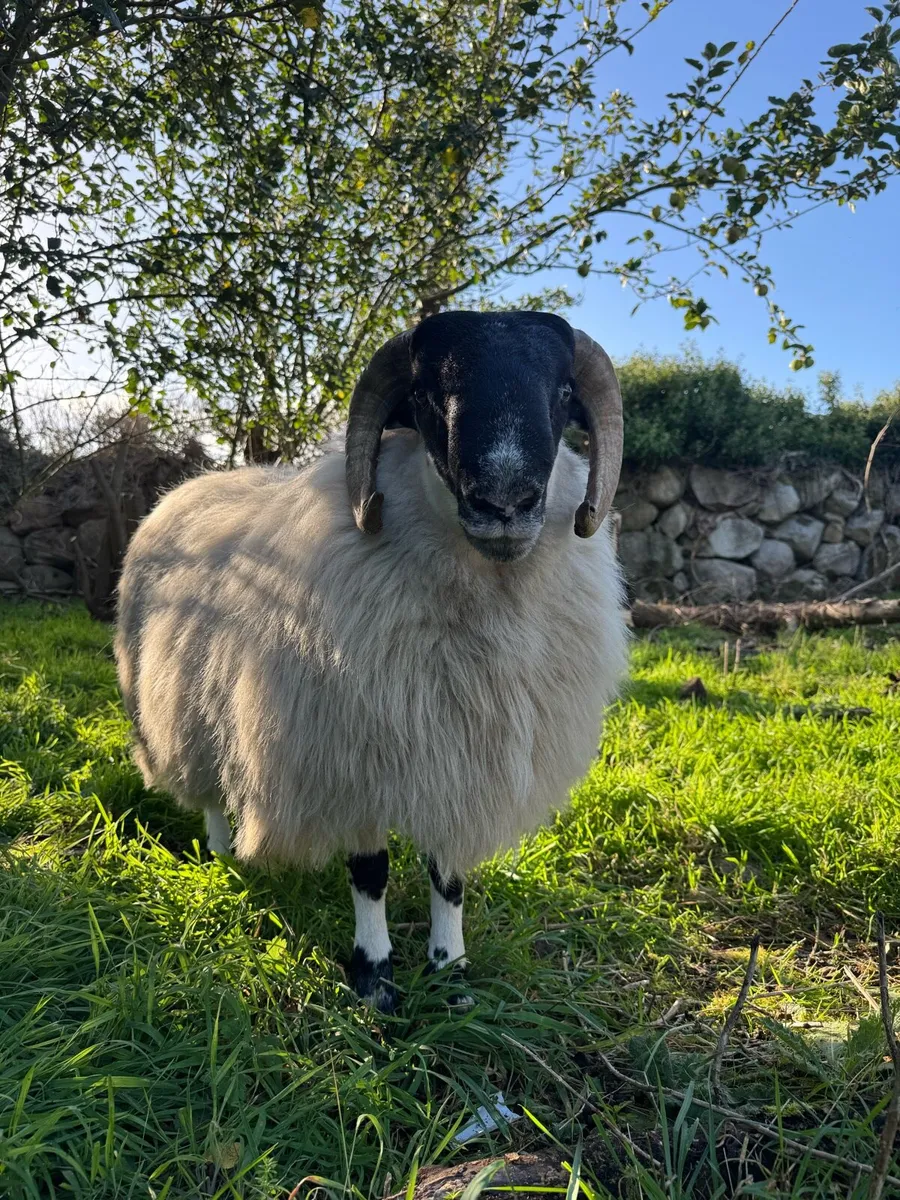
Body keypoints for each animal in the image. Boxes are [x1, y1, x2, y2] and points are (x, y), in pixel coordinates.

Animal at [115, 310, 629, 1012]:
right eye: (426, 394)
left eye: (562, 392)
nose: (504, 501)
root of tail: (186, 488)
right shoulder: (353, 754)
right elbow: (370, 873)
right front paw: (375, 977)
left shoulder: (461, 756)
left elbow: (448, 874)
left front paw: (450, 971)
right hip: (176, 701)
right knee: (209, 787)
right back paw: (223, 858)